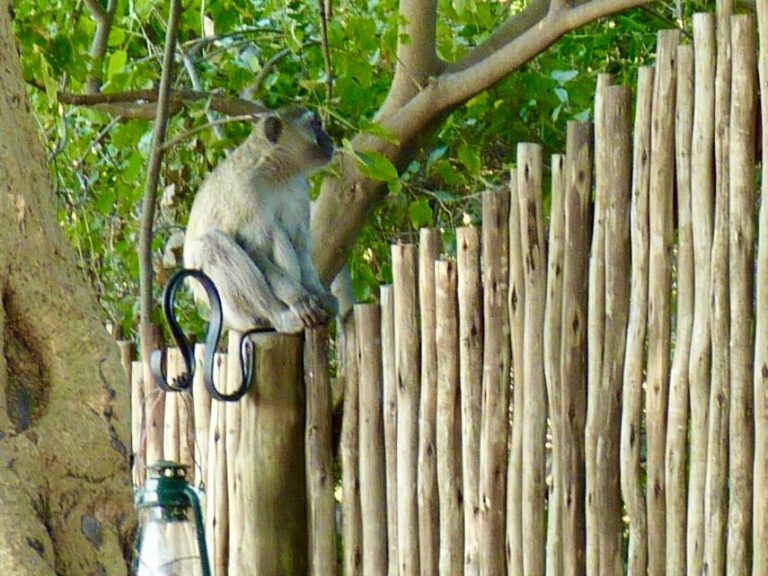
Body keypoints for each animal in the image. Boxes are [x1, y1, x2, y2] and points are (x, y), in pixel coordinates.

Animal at [183, 108, 338, 334]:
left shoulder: (299, 188)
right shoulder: (246, 190)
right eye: (316, 124)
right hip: (233, 312)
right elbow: (254, 249)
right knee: (213, 243)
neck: (275, 172)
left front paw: (320, 295)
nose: (329, 139)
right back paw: (279, 316)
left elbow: (300, 246)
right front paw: (298, 299)